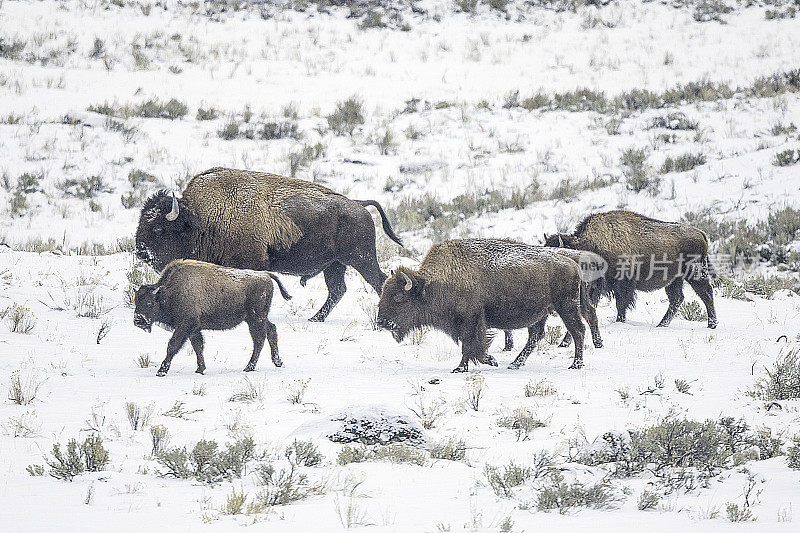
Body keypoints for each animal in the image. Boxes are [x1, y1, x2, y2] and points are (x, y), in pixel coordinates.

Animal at [132, 258, 290, 374]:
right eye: (136, 301)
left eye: (149, 302)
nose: (138, 320)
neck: (168, 292)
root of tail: (265, 275)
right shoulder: (194, 329)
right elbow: (198, 346)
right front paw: (200, 369)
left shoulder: (185, 325)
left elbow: (173, 345)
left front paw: (161, 371)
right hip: (258, 318)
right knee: (271, 330)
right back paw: (278, 362)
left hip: (255, 318)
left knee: (259, 339)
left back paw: (249, 367)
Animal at [135, 168, 406, 322]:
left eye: (158, 228)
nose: (141, 251)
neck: (201, 220)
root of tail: (359, 204)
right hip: (335, 265)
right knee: (337, 290)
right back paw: (314, 319)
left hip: (361, 259)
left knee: (378, 281)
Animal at [376, 239, 588, 372]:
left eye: (399, 297)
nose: (382, 322)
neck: (432, 284)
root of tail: (571, 262)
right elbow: (470, 346)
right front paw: (488, 361)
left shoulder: (471, 320)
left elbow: (470, 345)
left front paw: (464, 367)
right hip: (542, 312)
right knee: (536, 336)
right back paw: (514, 364)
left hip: (566, 307)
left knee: (578, 330)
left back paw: (576, 364)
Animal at [544, 209, 720, 328]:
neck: (591, 245)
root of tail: (701, 233)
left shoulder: (623, 285)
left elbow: (621, 304)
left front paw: (620, 321)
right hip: (674, 279)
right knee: (677, 299)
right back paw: (661, 324)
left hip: (695, 274)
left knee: (705, 293)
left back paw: (711, 324)